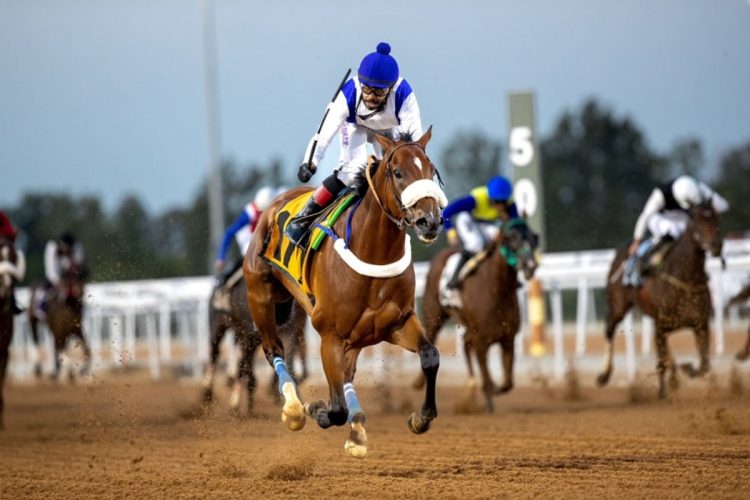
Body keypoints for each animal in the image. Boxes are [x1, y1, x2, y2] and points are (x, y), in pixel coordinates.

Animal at [203, 274, 308, 414]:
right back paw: (208, 393)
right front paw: (235, 404)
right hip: (219, 326)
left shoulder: (291, 331)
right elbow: (243, 367)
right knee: (214, 354)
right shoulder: (248, 335)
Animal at [245, 129, 446, 458]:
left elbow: (430, 356)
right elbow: (335, 408)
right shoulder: (330, 335)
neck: (373, 253)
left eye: (431, 171)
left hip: (357, 337)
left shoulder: (397, 322)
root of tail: (275, 204)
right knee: (274, 350)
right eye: (398, 173)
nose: (429, 220)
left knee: (347, 374)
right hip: (260, 295)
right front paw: (315, 409)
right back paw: (294, 410)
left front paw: (421, 418)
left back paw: (357, 430)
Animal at [420, 220, 536, 414]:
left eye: (533, 238)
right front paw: (489, 393)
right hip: (434, 315)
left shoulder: (507, 338)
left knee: (466, 344)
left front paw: (493, 390)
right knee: (431, 338)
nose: (530, 265)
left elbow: (507, 383)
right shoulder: (482, 340)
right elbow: (487, 376)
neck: (497, 289)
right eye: (511, 239)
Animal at [600, 200, 724, 398]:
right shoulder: (662, 324)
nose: (716, 246)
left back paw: (675, 377)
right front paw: (662, 392)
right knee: (610, 330)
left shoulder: (700, 324)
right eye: (696, 222)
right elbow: (661, 363)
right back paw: (604, 375)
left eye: (715, 219)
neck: (685, 277)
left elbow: (704, 363)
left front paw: (689, 370)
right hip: (618, 305)